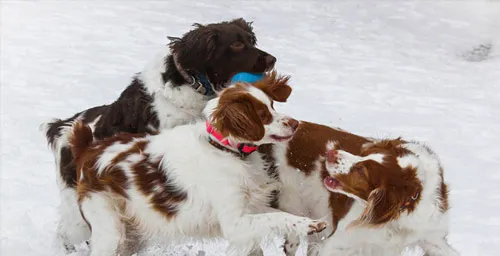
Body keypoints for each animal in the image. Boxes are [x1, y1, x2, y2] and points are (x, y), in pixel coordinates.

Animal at [41, 18, 278, 250]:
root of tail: (61, 127)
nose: (272, 59)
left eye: (251, 40)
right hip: (79, 212)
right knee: (67, 232)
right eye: (236, 44)